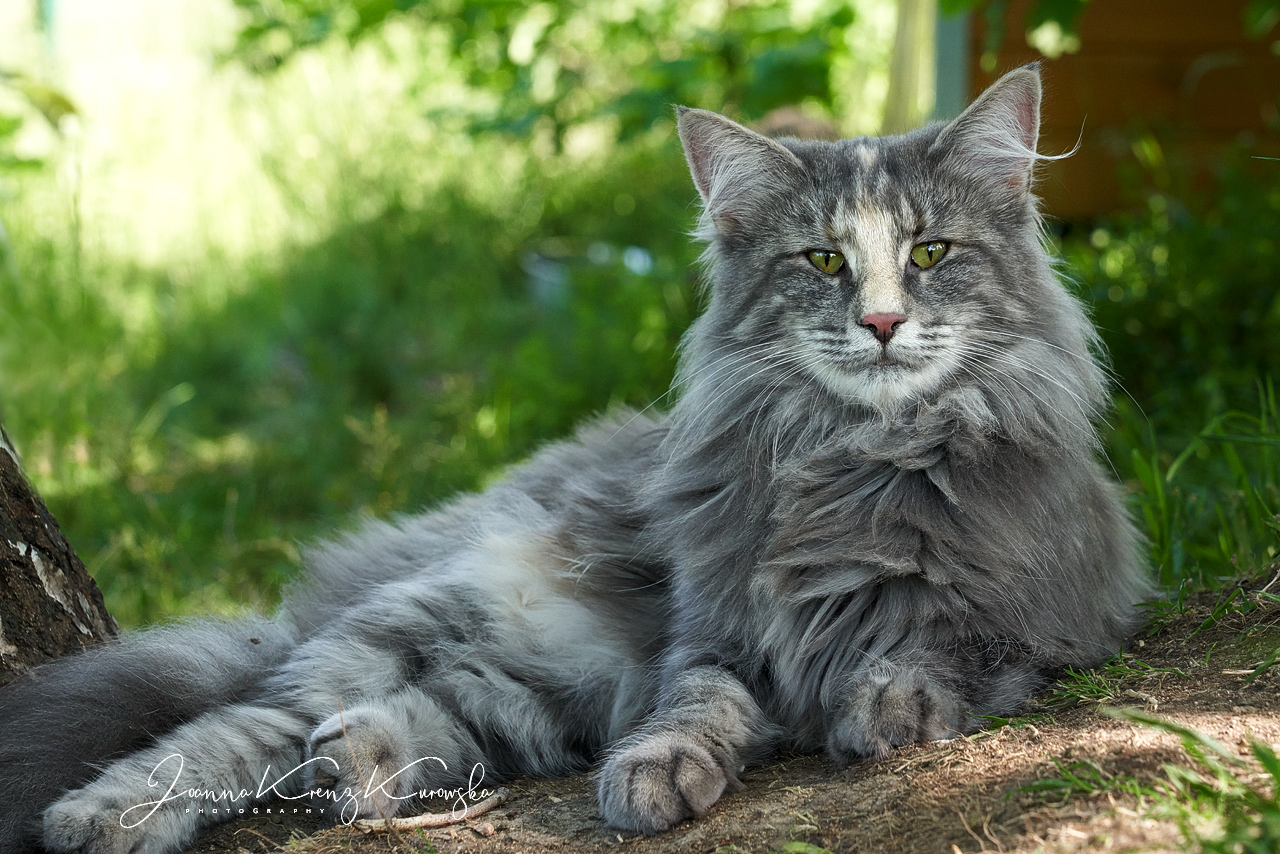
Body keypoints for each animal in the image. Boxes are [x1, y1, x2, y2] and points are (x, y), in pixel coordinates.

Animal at [0, 66, 1152, 854]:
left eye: (929, 253)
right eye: (823, 259)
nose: (878, 321)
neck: (848, 457)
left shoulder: (1046, 619)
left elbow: (936, 645)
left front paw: (886, 706)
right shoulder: (711, 634)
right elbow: (694, 710)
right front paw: (655, 774)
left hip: (528, 690)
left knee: (399, 726)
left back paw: (356, 764)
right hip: (425, 614)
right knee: (236, 726)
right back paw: (104, 813)